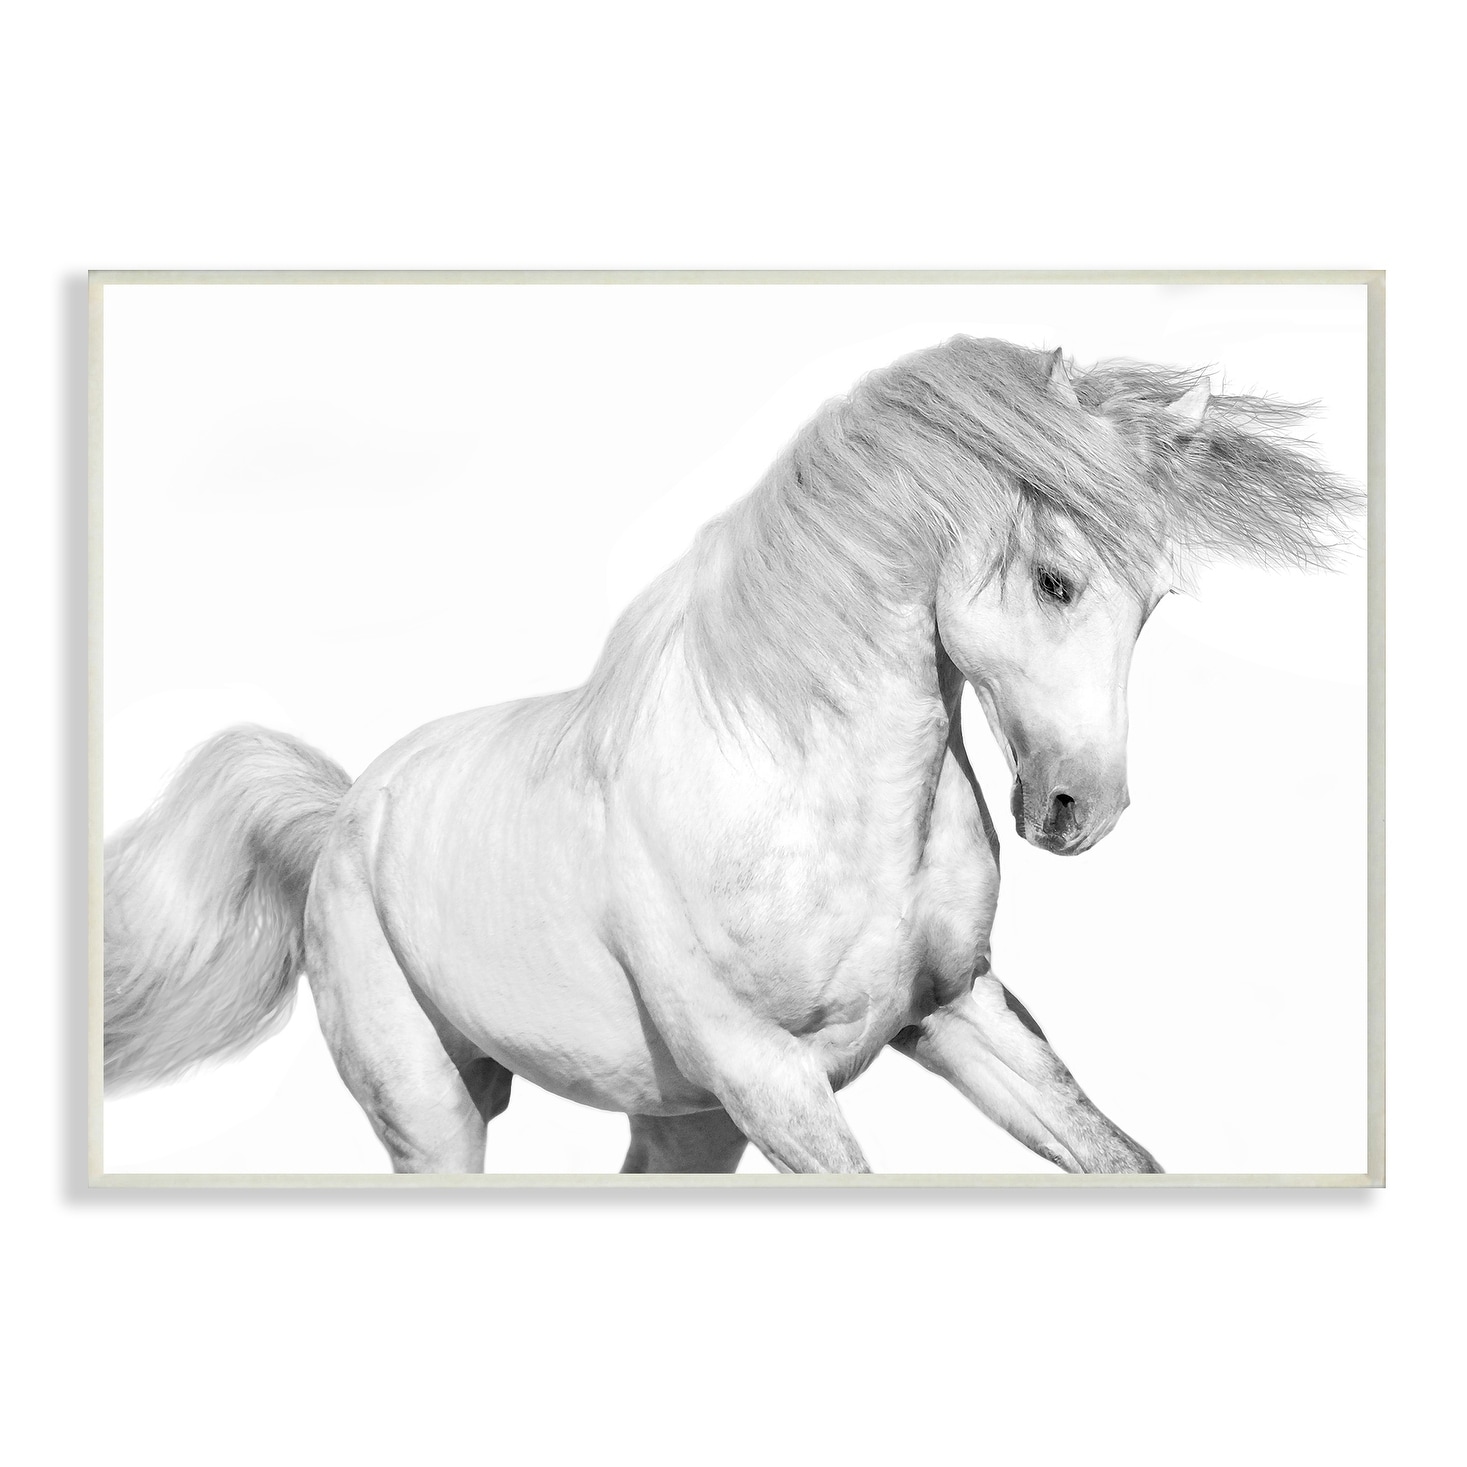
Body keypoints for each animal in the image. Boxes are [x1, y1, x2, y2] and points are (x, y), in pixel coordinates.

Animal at [102, 335, 1356, 1175]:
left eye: (1156, 603)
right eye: (1056, 581)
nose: (1077, 807)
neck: (808, 798)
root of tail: (350, 812)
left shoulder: (954, 1014)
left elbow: (1116, 1154)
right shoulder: (767, 1075)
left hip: (678, 1120)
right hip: (434, 1109)